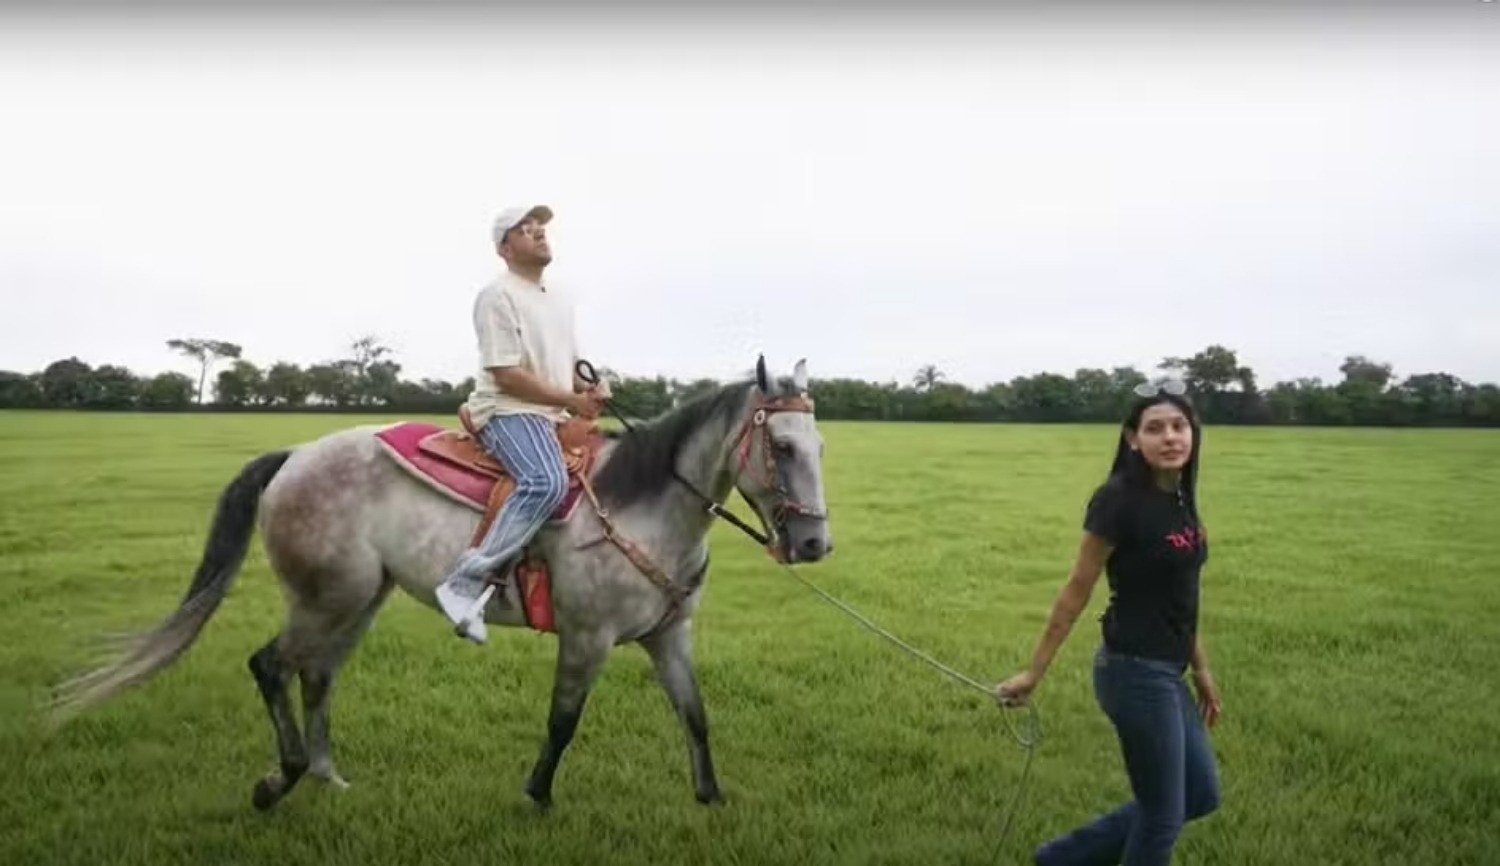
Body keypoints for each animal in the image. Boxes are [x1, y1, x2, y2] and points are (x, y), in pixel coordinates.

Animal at [49, 352, 834, 810]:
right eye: (782, 444)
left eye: (820, 445)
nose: (813, 542)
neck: (641, 505)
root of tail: (294, 455)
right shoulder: (586, 637)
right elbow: (563, 720)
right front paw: (536, 796)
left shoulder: (669, 635)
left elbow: (695, 715)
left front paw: (711, 798)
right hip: (324, 598)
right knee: (272, 665)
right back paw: (280, 780)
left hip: (358, 600)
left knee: (317, 675)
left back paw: (326, 773)